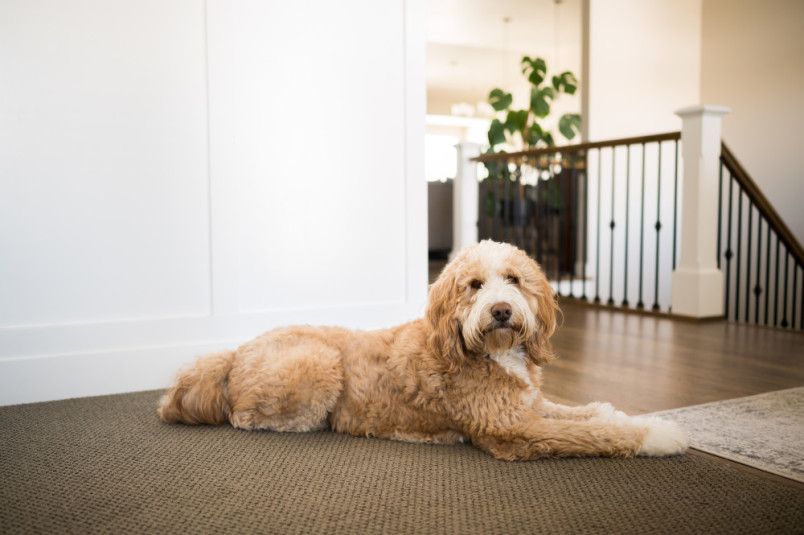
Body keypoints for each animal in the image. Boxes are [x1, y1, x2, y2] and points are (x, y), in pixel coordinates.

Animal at [160, 240, 688, 460]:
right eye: (474, 286)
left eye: (514, 279)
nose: (501, 310)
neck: (488, 351)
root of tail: (234, 352)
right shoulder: (513, 430)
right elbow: (595, 435)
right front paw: (659, 438)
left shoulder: (529, 405)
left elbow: (588, 412)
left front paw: (638, 417)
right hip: (318, 366)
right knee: (246, 416)